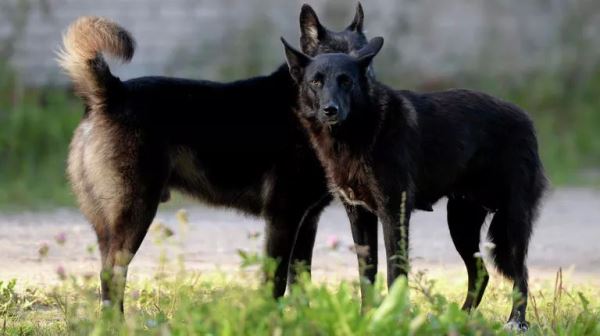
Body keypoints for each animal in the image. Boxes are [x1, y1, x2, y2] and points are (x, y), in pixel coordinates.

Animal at [56, 4, 376, 310]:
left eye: (364, 64)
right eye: (325, 73)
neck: (300, 106)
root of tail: (112, 92)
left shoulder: (307, 221)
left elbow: (301, 284)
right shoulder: (283, 218)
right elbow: (275, 283)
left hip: (109, 226)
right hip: (135, 214)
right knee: (111, 276)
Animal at [284, 35, 548, 330]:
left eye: (346, 81)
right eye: (316, 82)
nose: (331, 110)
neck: (357, 134)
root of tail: (525, 117)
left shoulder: (393, 214)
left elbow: (395, 273)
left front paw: (395, 319)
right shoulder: (359, 214)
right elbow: (367, 275)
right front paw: (367, 318)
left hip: (512, 223)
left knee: (521, 275)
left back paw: (516, 322)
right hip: (461, 224)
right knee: (481, 274)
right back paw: (459, 319)